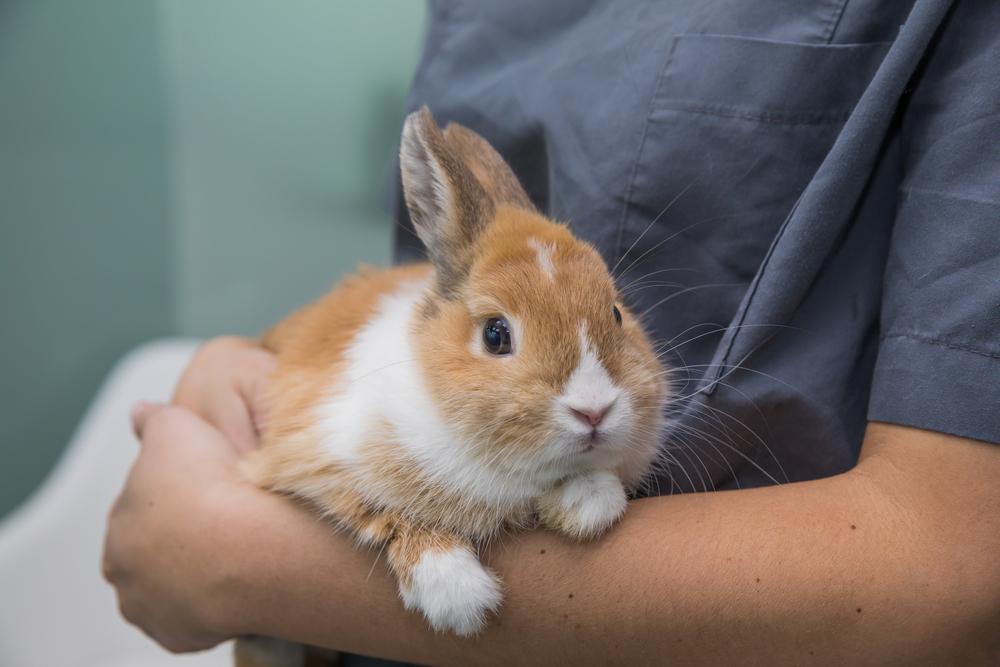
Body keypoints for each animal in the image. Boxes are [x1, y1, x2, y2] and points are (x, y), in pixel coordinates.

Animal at [235, 107, 668, 664]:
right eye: (495, 334)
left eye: (615, 313)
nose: (593, 410)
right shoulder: (318, 454)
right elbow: (388, 512)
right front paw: (459, 596)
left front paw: (587, 507)